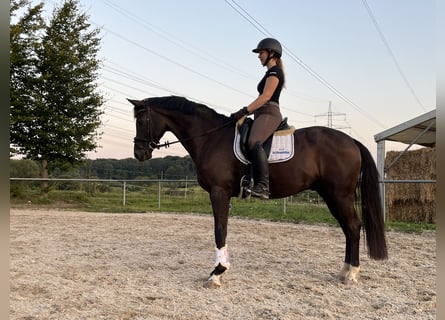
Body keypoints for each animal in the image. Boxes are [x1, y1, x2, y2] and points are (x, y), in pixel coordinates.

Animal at [127, 95, 386, 288]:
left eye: (141, 121)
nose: (139, 153)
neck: (211, 137)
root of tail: (351, 141)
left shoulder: (219, 192)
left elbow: (219, 230)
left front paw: (217, 273)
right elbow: (222, 230)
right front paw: (220, 270)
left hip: (339, 195)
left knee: (353, 227)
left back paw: (351, 274)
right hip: (331, 196)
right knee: (348, 229)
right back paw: (344, 271)